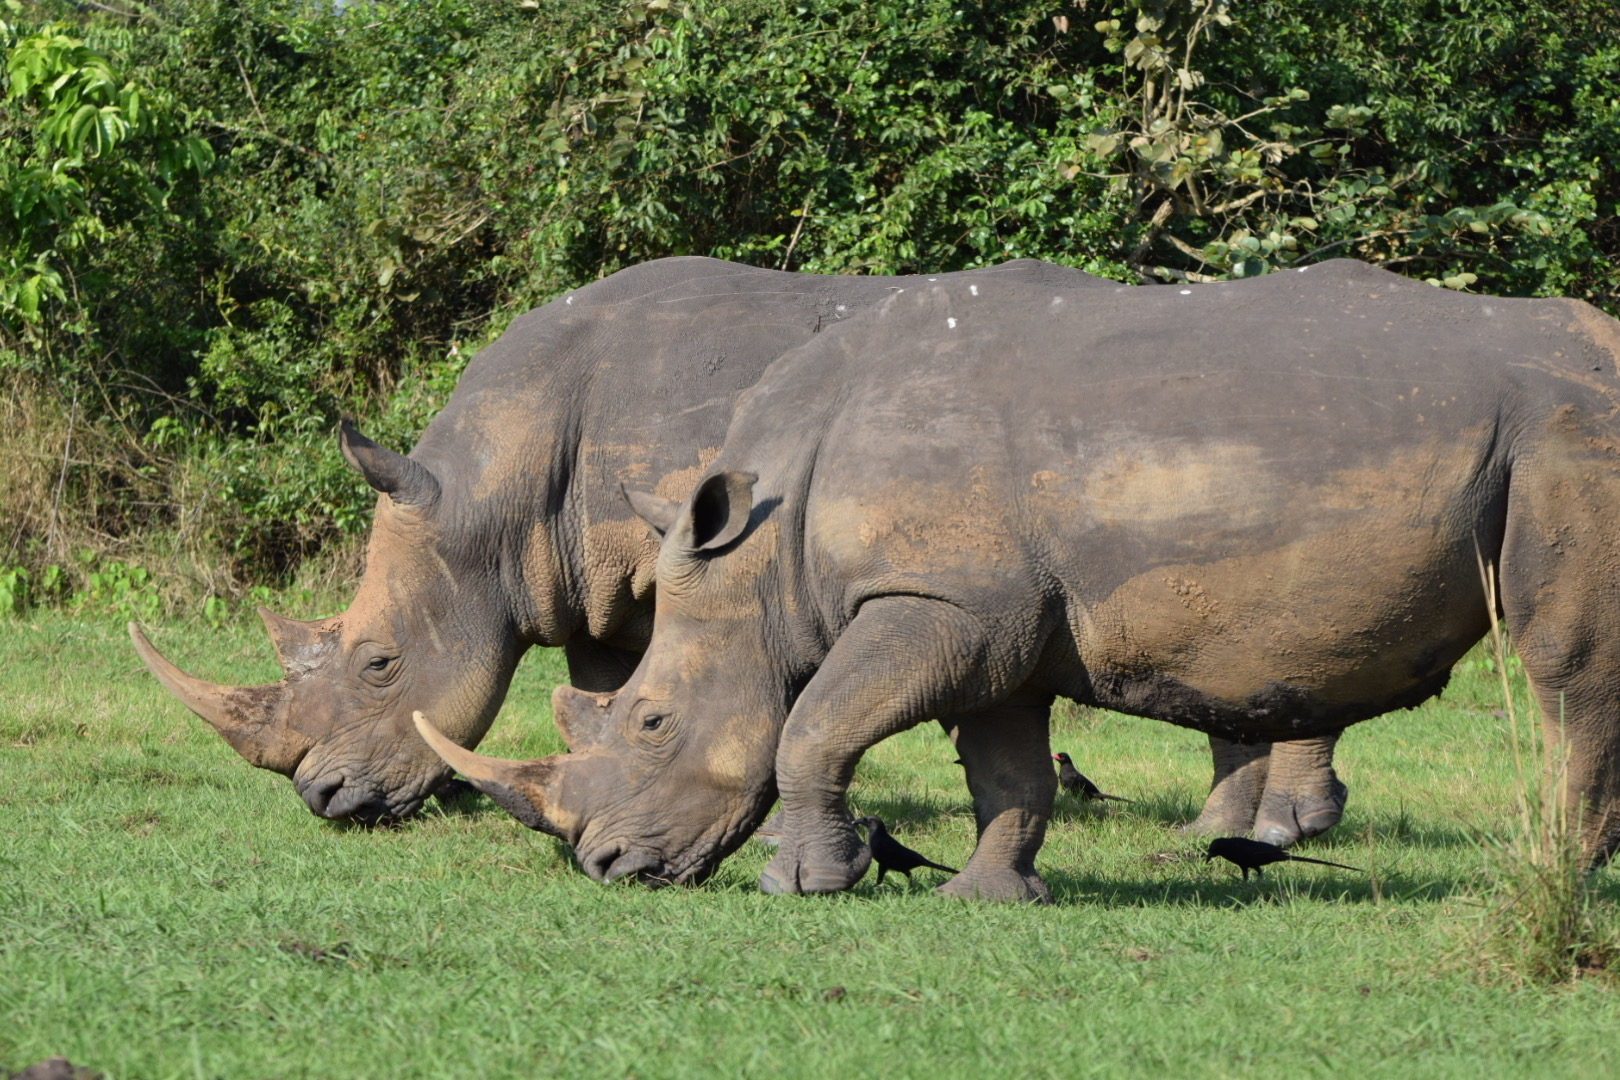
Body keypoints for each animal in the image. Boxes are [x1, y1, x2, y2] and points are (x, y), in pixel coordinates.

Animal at [417, 257, 1620, 900]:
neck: (763, 560)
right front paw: (992, 895)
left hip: (1568, 431)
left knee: (1568, 674)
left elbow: (812, 726)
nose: (608, 865)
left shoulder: (935, 601)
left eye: (653, 722)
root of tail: (1604, 346)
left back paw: (1561, 877)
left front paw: (800, 887)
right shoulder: (990, 621)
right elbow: (1008, 770)